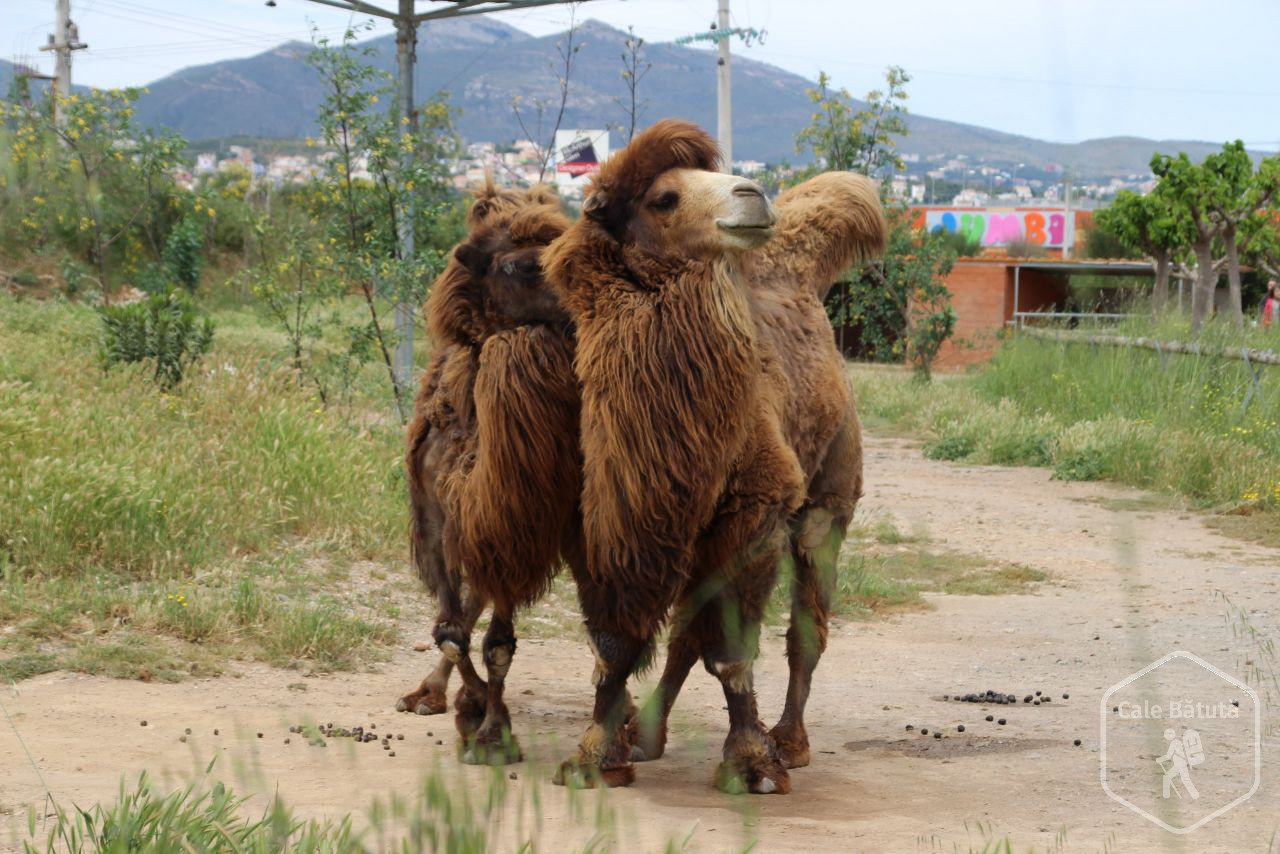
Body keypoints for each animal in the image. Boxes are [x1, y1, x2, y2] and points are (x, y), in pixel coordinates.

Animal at [399, 180, 583, 764]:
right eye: (523, 265)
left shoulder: (513, 528)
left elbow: (496, 645)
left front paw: (491, 732)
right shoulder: (438, 523)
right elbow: (452, 633)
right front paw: (472, 709)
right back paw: (426, 695)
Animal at [542, 119, 887, 794]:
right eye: (664, 198)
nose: (752, 195)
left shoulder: (755, 509)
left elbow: (731, 651)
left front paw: (751, 762)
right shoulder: (605, 517)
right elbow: (614, 645)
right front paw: (595, 753)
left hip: (829, 494)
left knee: (804, 628)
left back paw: (790, 742)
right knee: (685, 630)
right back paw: (645, 736)